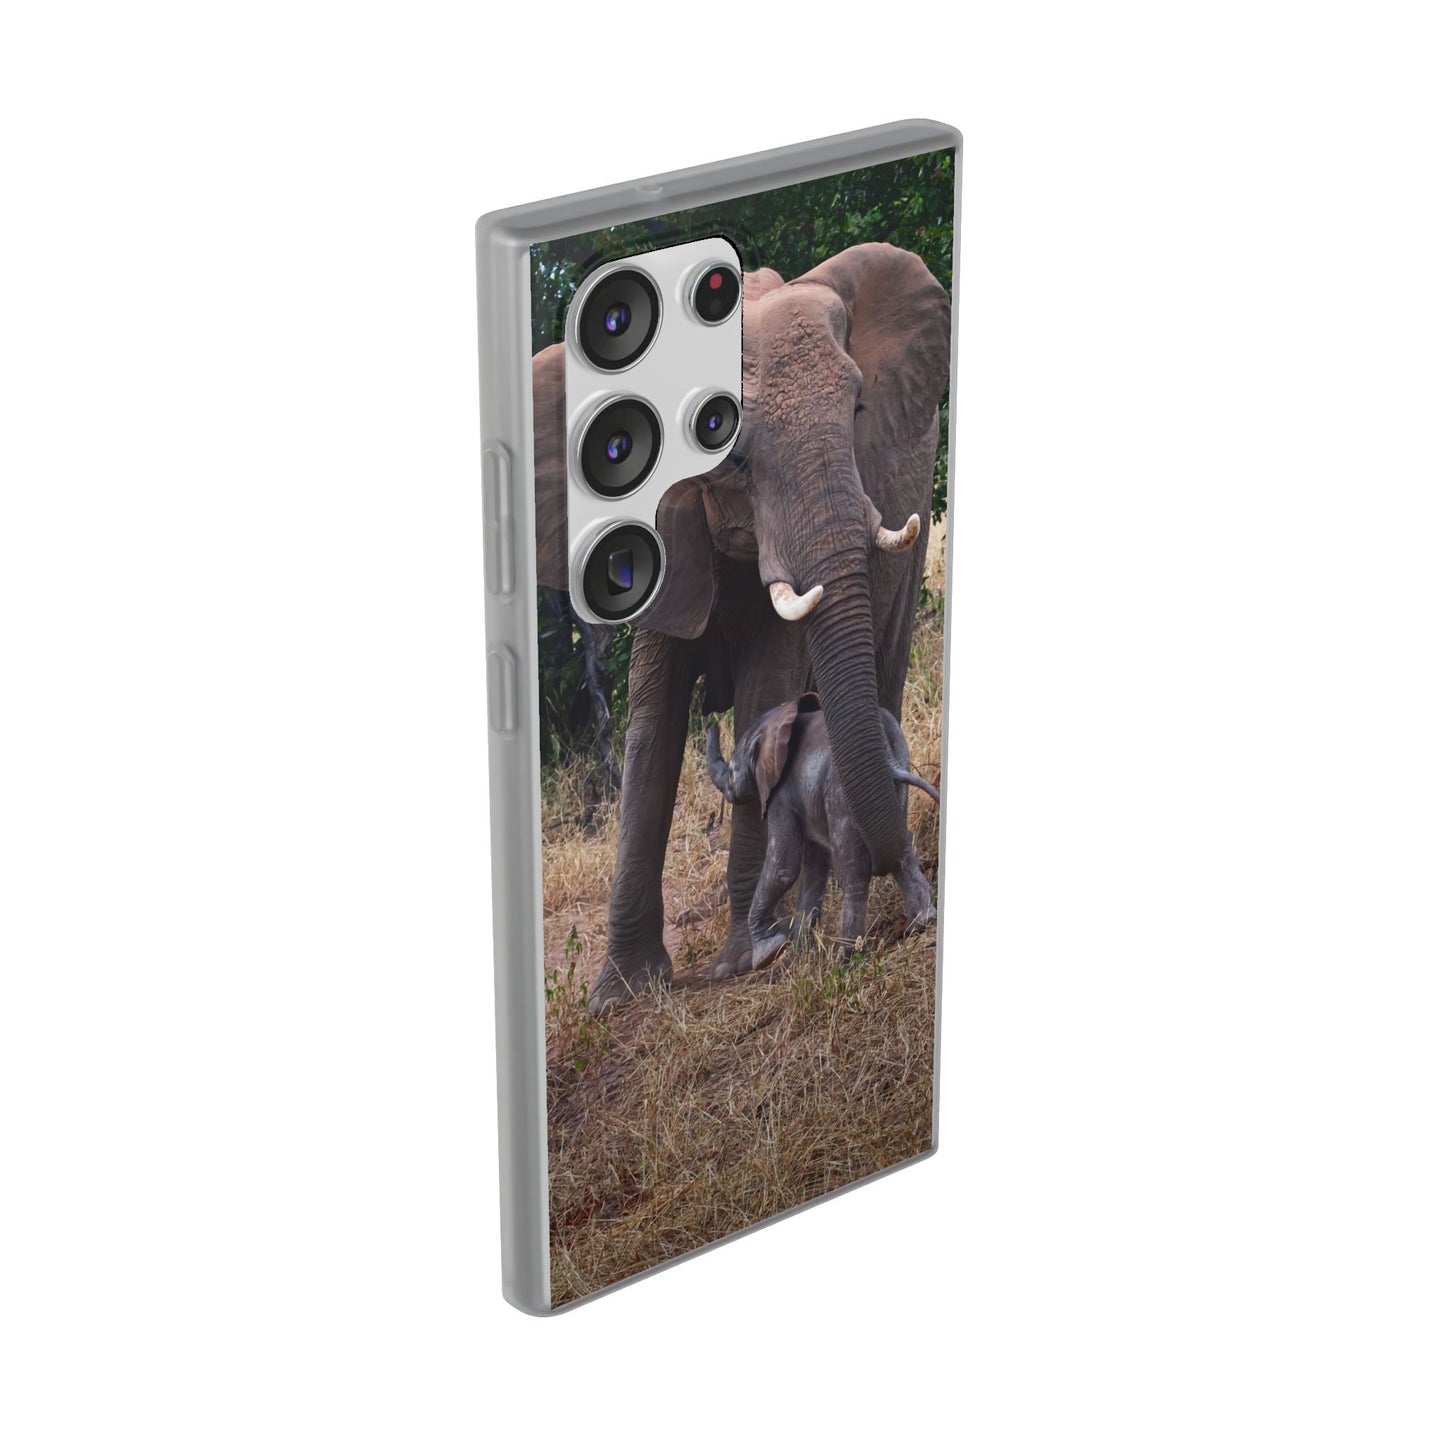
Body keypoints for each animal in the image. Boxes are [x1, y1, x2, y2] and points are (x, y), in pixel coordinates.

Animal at [704, 693, 939, 969]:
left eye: (731, 771)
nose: (711, 721)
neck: (774, 724)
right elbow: (813, 868)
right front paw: (799, 958)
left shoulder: (781, 795)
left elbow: (784, 867)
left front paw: (768, 953)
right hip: (897, 779)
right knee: (901, 850)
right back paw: (923, 922)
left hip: (840, 794)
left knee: (853, 868)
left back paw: (848, 958)